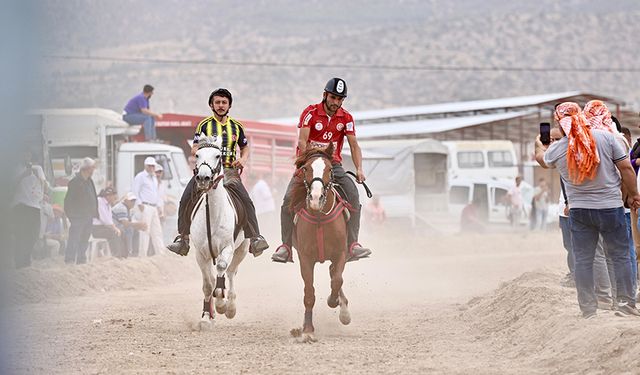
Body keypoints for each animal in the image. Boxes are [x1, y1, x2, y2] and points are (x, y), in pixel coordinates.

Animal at [189, 136, 249, 328]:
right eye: (197, 154)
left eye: (217, 155)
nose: (203, 178)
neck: (213, 215)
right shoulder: (201, 253)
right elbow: (208, 285)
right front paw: (206, 317)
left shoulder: (227, 247)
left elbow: (222, 268)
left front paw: (222, 304)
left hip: (242, 249)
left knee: (230, 273)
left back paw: (230, 307)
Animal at [288, 145, 350, 344]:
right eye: (306, 168)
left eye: (329, 169)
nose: (315, 198)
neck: (319, 218)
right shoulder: (305, 258)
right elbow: (309, 293)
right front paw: (308, 330)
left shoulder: (340, 253)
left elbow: (337, 280)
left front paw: (335, 302)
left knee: (334, 274)